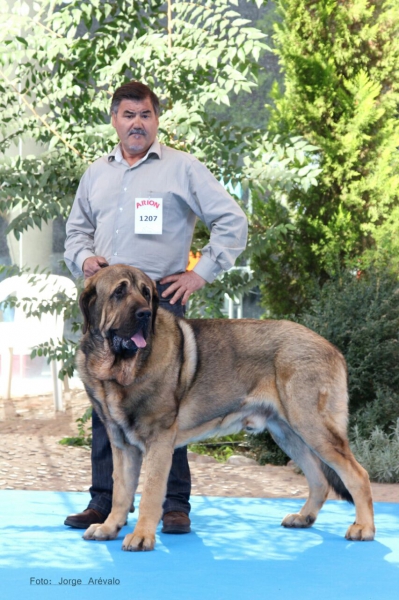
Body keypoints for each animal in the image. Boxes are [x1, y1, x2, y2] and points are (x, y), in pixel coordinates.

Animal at [77, 264, 376, 552]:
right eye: (119, 292)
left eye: (146, 293)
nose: (144, 313)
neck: (120, 370)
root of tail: (332, 348)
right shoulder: (122, 445)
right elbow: (121, 491)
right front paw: (109, 527)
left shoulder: (158, 441)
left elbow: (150, 493)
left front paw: (141, 536)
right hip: (288, 434)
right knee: (320, 480)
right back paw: (304, 517)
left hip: (311, 426)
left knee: (358, 475)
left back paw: (364, 528)